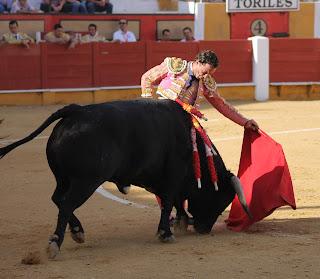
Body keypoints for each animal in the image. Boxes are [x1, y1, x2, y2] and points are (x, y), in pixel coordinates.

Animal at [0, 99, 250, 260]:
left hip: (63, 178)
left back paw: (78, 232)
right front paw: (166, 233)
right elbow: (169, 201)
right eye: (222, 201)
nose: (204, 229)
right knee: (67, 203)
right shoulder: (173, 176)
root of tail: (75, 111)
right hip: (85, 181)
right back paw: (56, 243)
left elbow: (176, 201)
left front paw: (180, 222)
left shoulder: (169, 180)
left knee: (58, 199)